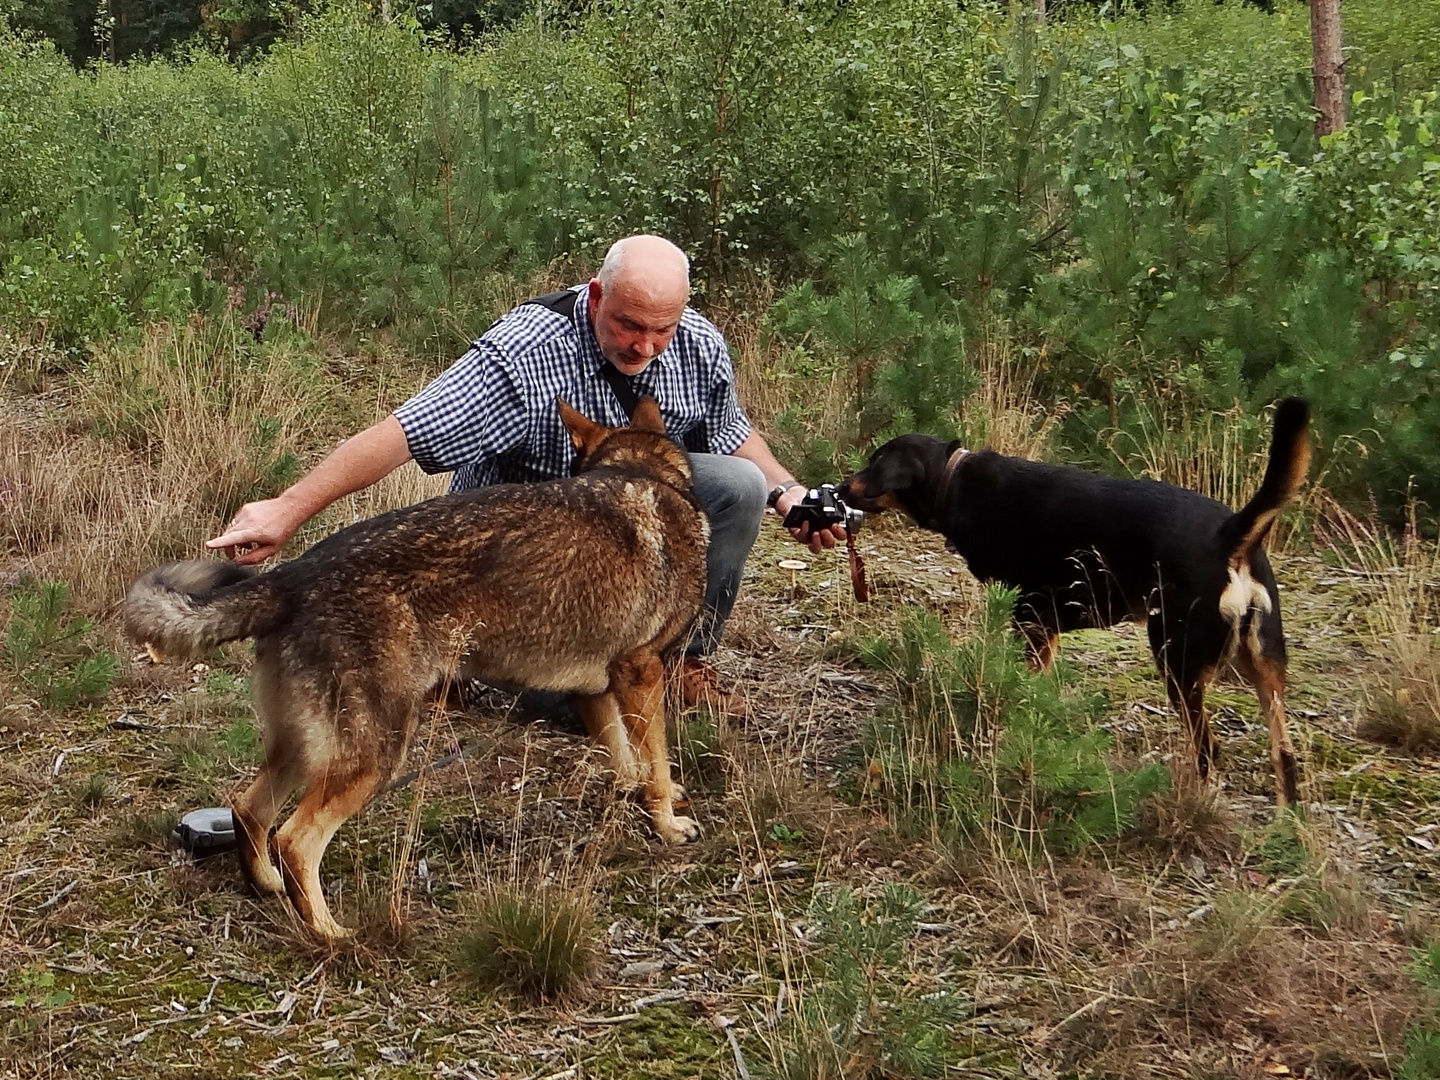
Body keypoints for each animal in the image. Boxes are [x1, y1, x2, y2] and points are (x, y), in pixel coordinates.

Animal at [125, 397, 708, 938]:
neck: (644, 474)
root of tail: (290, 577)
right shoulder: (642, 673)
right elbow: (656, 763)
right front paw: (667, 825)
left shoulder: (599, 689)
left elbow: (628, 760)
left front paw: (635, 795)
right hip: (375, 754)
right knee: (294, 839)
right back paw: (330, 934)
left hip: (305, 748)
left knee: (249, 811)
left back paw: (270, 887)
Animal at [840, 397, 1313, 806]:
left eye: (872, 465)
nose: (841, 486)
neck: (953, 483)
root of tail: (1230, 536)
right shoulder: (1045, 627)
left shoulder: (1028, 617)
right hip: (1263, 663)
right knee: (1285, 756)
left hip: (1177, 659)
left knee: (1208, 750)